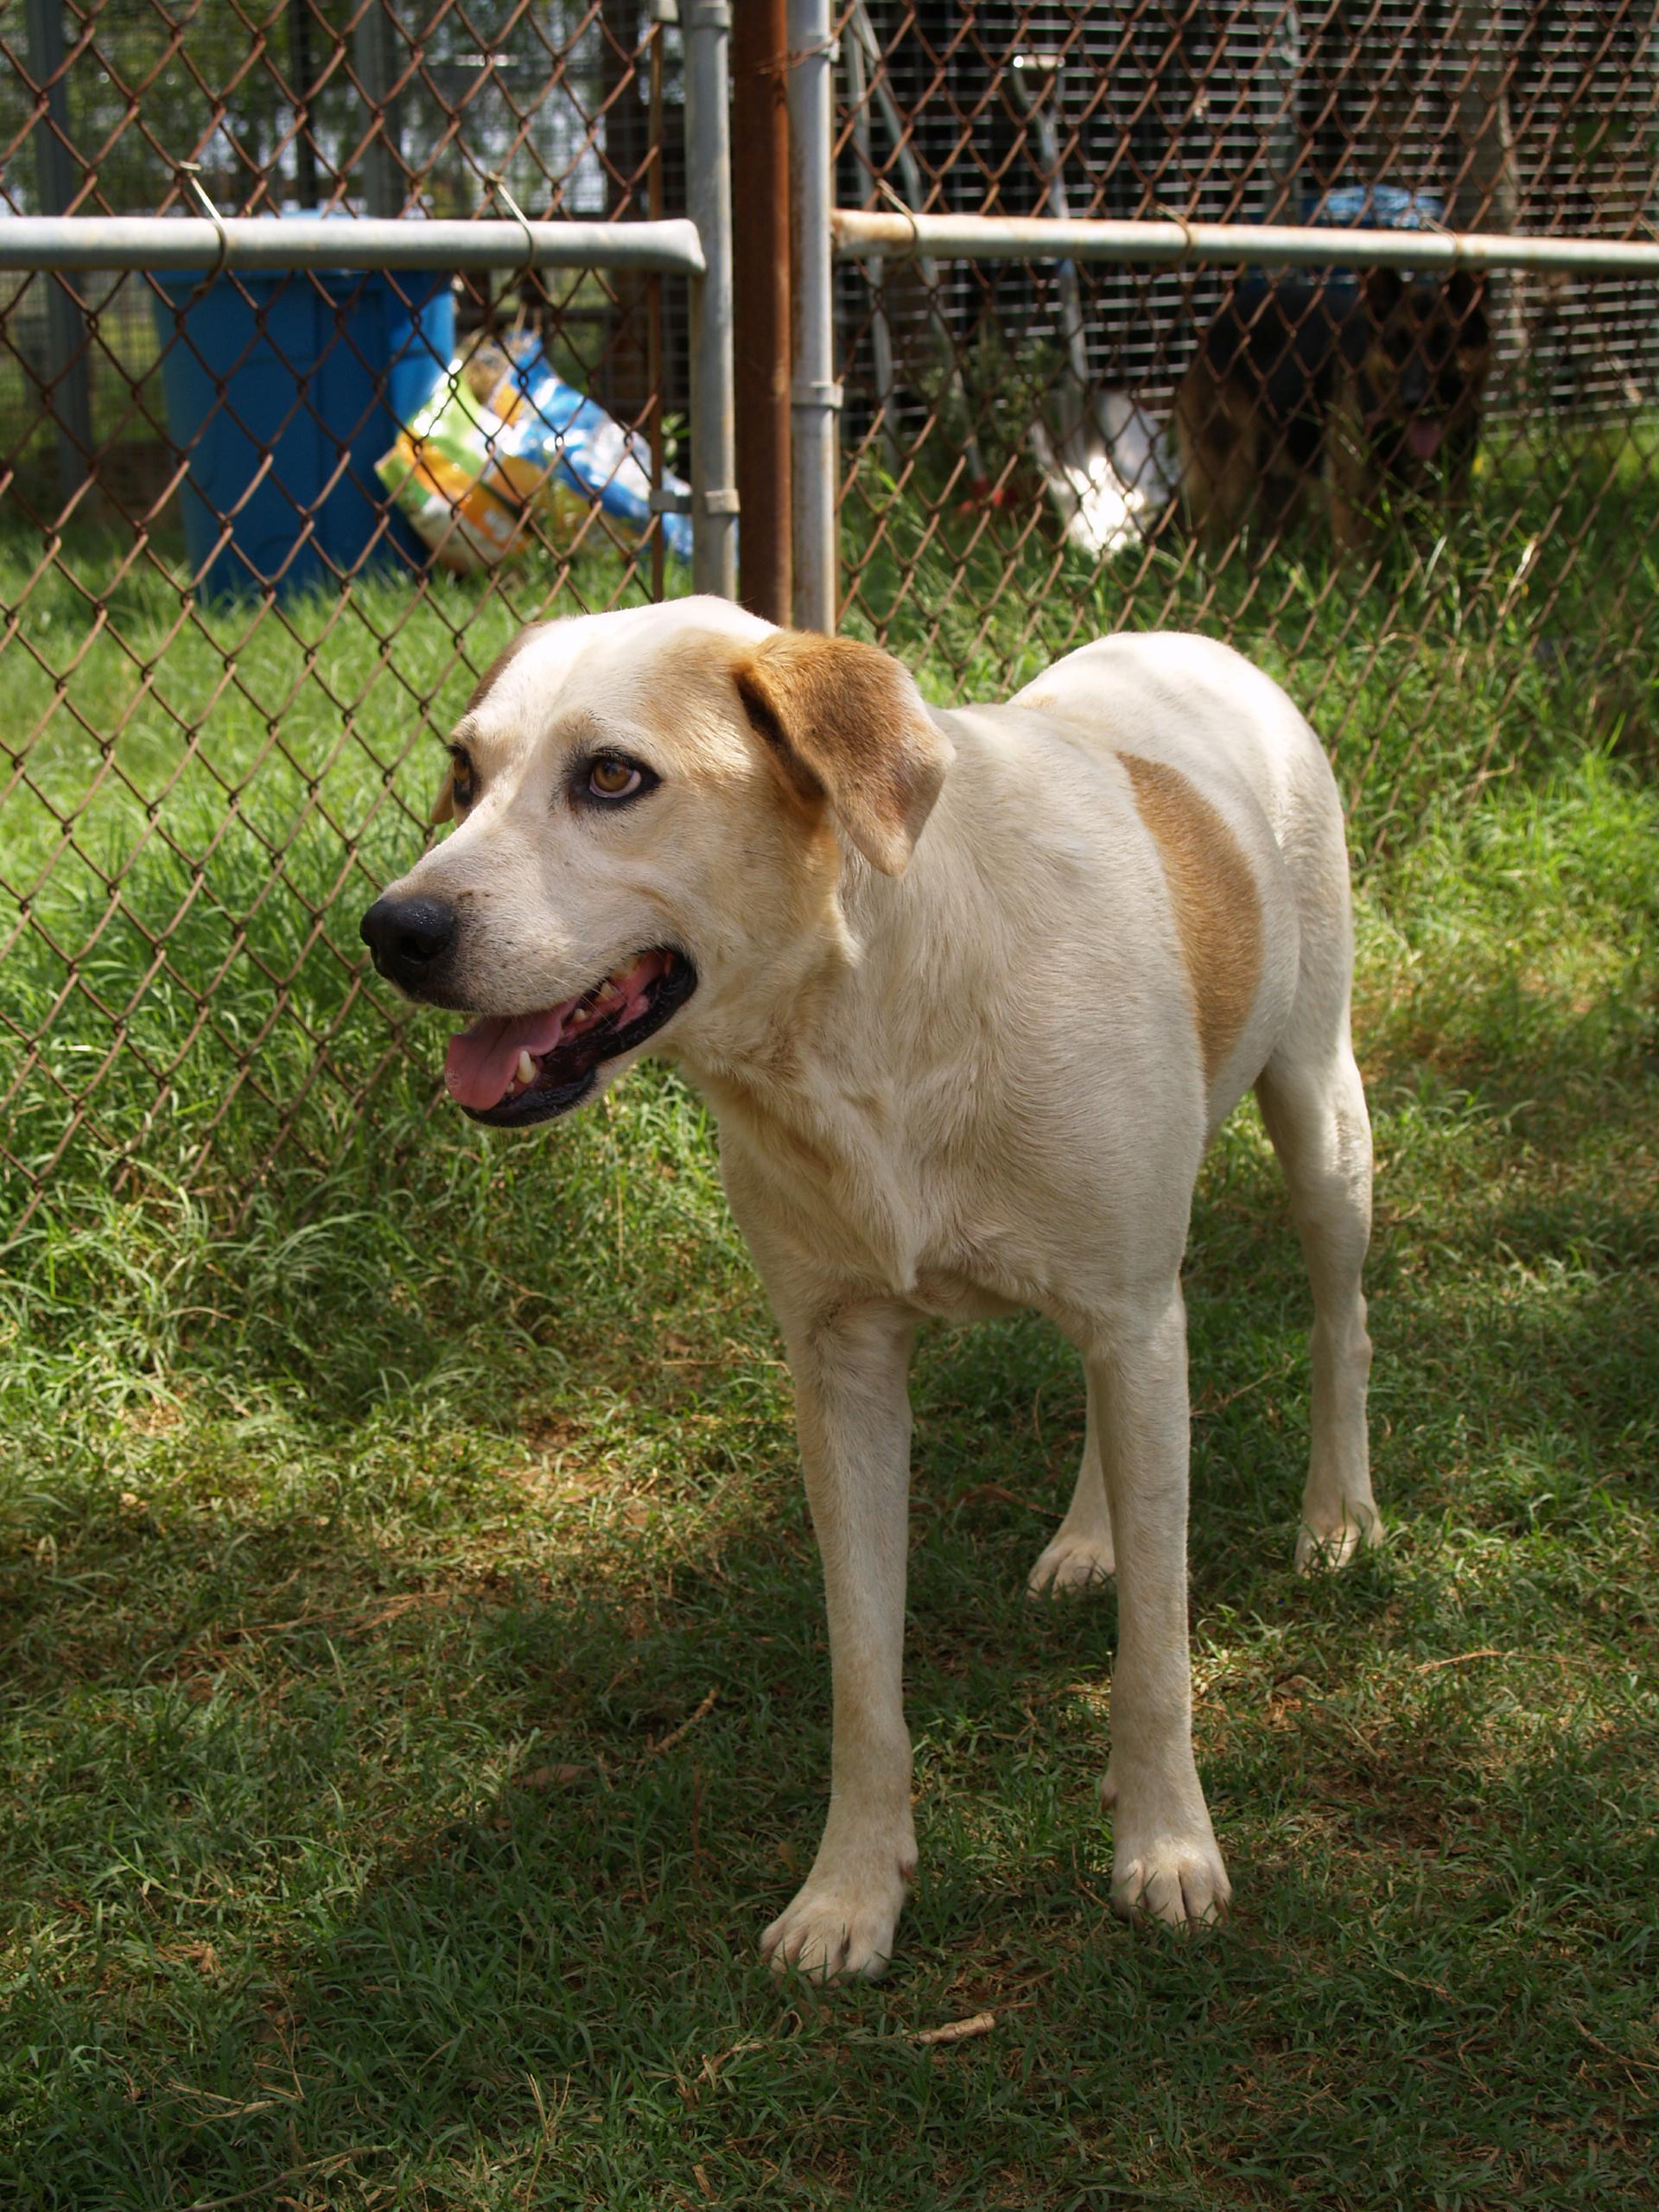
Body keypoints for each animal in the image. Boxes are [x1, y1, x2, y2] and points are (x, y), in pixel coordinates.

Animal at [360, 597, 1380, 1981]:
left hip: (1320, 1120)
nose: (395, 932)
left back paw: (1339, 1518)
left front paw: (1167, 1847)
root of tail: (1188, 639)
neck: (869, 1018)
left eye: (612, 777)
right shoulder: (841, 1362)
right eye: (463, 775)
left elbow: (1157, 1655)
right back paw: (1091, 1536)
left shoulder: (1131, 1313)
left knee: (1340, 1322)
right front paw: (850, 1893)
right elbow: (862, 1676)